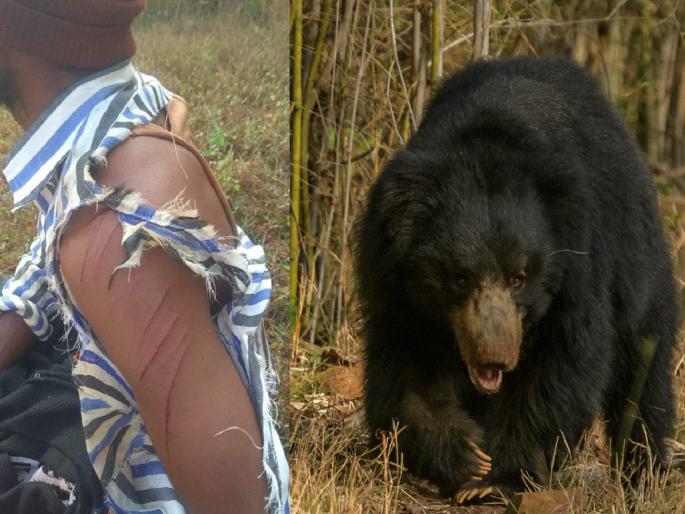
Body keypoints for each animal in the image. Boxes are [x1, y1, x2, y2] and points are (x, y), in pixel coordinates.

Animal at [354, 56, 677, 502]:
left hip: (639, 263)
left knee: (642, 368)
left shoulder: (580, 268)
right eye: (460, 277)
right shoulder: (394, 278)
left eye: (520, 277)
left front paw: (497, 479)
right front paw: (466, 456)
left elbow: (563, 364)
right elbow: (405, 365)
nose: (495, 356)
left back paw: (642, 475)